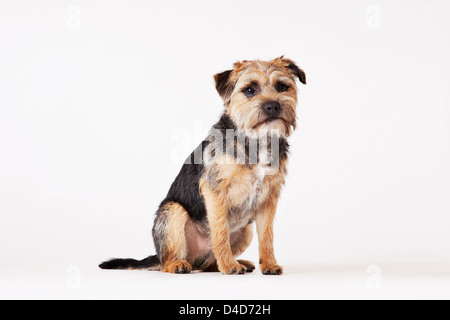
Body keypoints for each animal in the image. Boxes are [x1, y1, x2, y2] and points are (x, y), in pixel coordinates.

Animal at [98, 56, 306, 274]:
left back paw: (239, 262)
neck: (257, 140)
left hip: (246, 230)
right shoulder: (215, 191)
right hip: (173, 211)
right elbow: (220, 231)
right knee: (169, 261)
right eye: (249, 90)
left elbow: (267, 235)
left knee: (210, 264)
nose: (272, 106)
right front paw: (229, 265)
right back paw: (181, 264)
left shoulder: (268, 199)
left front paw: (269, 264)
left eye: (282, 86)